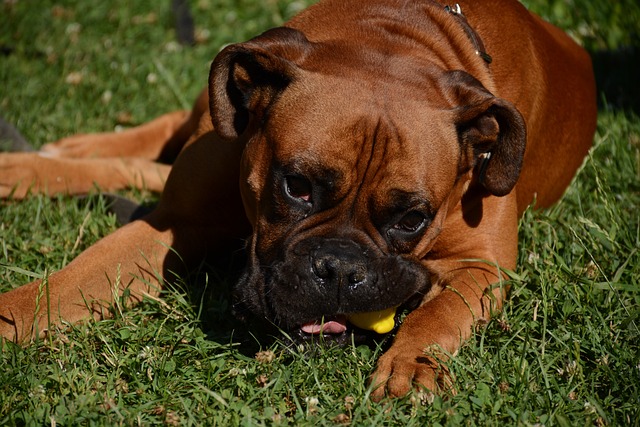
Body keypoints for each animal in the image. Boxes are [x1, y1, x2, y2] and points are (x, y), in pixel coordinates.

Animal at [0, 0, 596, 402]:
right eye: (297, 186)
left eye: (412, 218)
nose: (339, 270)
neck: (395, 37)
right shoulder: (171, 223)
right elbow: (66, 283)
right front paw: (12, 315)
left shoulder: (482, 266)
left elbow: (441, 313)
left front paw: (413, 366)